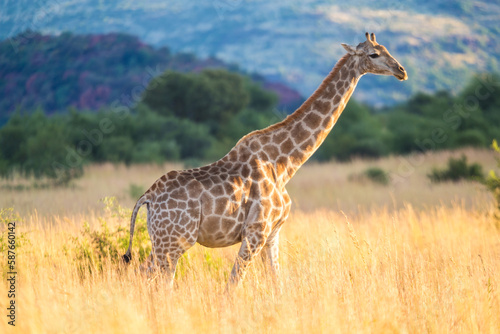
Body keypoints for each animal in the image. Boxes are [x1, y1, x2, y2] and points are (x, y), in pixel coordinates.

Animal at [121, 32, 406, 286]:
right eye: (373, 54)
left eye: (386, 48)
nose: (401, 71)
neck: (284, 164)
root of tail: (147, 197)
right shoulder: (256, 232)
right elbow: (233, 284)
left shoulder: (273, 234)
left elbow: (276, 283)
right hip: (175, 241)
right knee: (155, 280)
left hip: (162, 239)